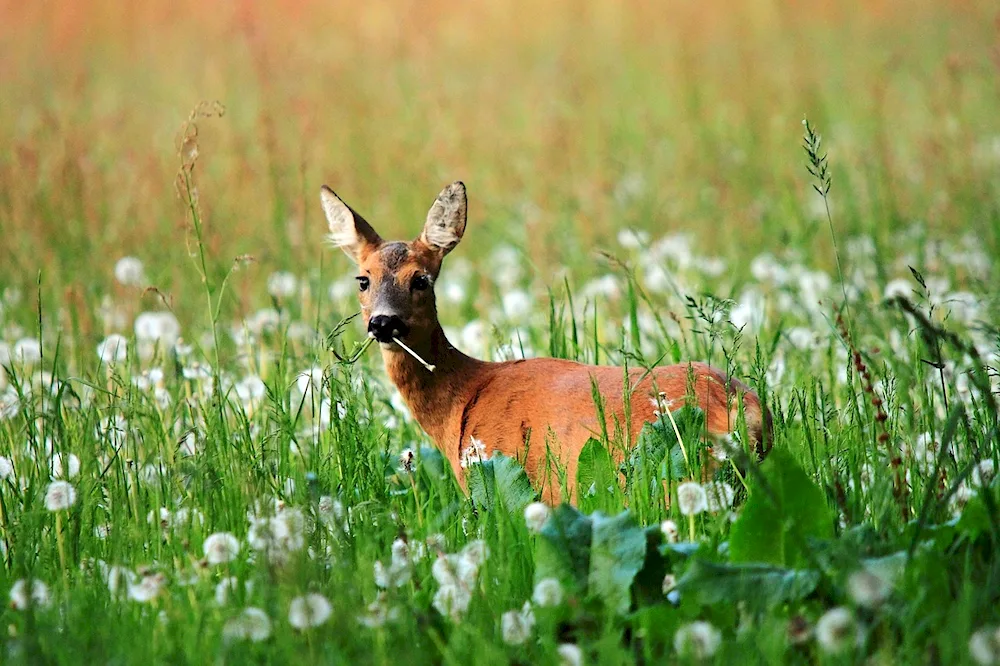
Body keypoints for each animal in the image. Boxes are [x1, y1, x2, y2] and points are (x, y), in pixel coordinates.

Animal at [320, 179, 772, 500]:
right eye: (363, 280)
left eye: (421, 279)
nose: (383, 323)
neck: (461, 400)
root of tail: (745, 408)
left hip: (674, 475)